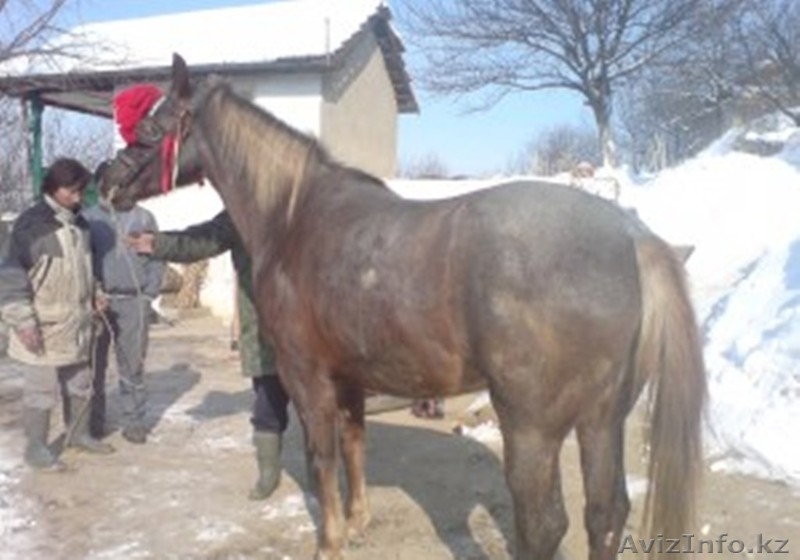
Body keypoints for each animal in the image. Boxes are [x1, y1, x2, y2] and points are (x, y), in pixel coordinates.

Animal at [101, 53, 708, 560]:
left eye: (150, 129)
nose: (107, 183)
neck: (295, 216)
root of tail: (631, 237)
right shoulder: (349, 377)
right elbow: (354, 446)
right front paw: (357, 524)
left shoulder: (308, 376)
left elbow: (322, 458)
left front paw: (330, 543)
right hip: (602, 419)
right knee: (605, 514)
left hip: (532, 426)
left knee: (544, 525)